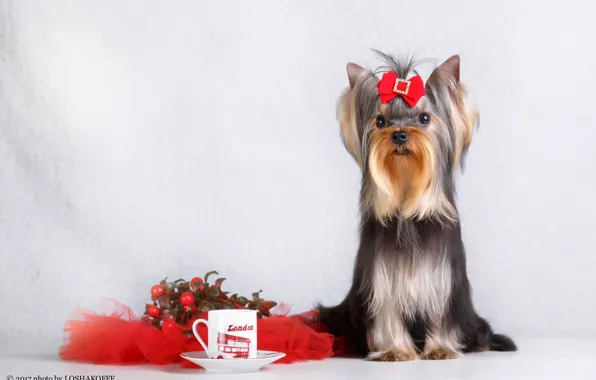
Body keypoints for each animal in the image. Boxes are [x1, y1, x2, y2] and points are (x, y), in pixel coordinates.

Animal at [316, 52, 516, 360]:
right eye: (381, 121)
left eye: (424, 118)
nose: (399, 134)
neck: (407, 211)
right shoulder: (382, 280)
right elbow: (387, 313)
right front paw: (395, 351)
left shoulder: (440, 281)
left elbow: (439, 314)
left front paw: (440, 349)